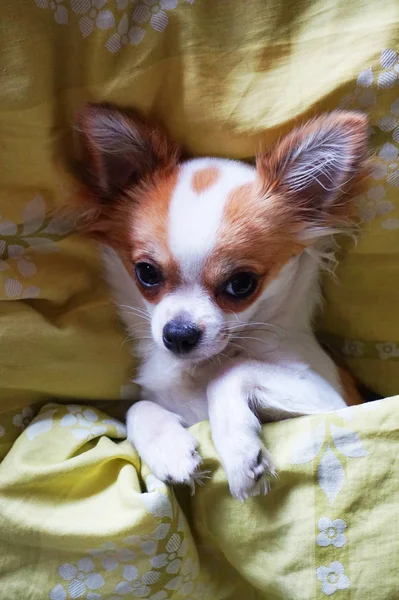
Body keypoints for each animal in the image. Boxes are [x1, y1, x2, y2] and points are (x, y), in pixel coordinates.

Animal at [74, 104, 368, 502]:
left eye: (241, 284)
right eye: (146, 272)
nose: (178, 334)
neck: (201, 367)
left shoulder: (336, 402)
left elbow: (232, 372)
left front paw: (241, 454)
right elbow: (136, 406)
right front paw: (169, 449)